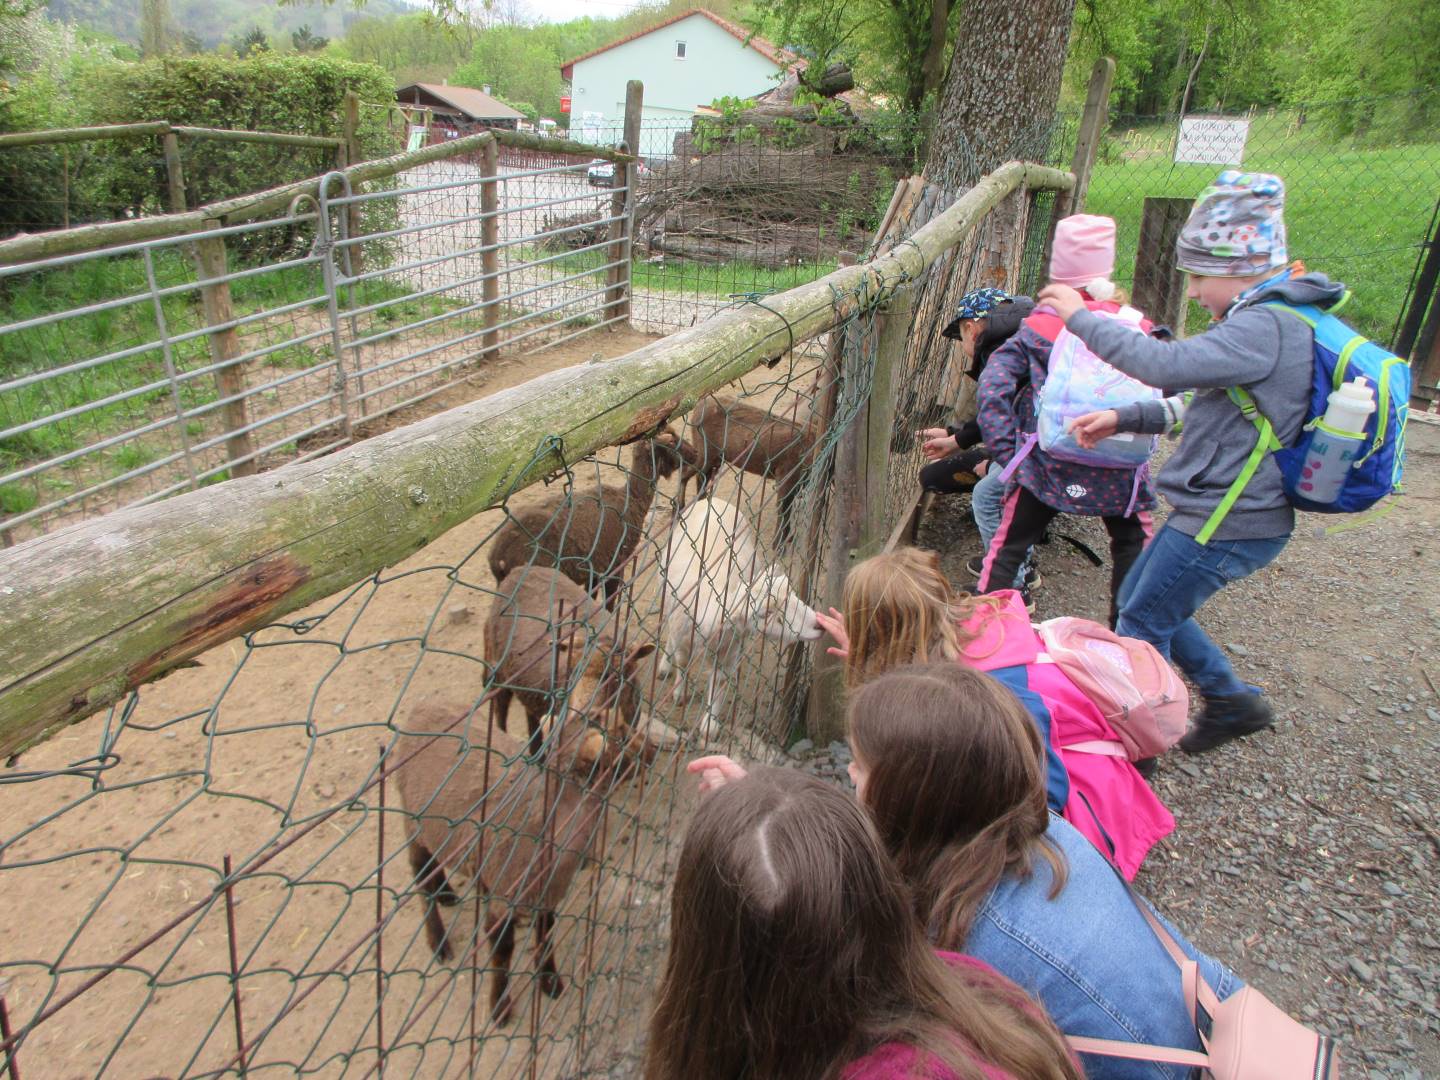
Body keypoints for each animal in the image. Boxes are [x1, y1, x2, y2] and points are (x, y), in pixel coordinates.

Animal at [395, 695, 658, 1026]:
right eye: (621, 734)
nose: (654, 749)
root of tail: (420, 709)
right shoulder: (504, 898)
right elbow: (502, 951)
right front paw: (500, 1006)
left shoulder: (546, 895)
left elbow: (546, 935)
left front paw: (550, 981)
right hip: (413, 823)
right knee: (421, 875)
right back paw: (438, 939)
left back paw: (447, 895)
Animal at [484, 565, 655, 757]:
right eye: (572, 672)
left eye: (618, 677)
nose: (579, 718)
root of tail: (520, 569)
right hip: (499, 670)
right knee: (500, 705)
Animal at [487, 431, 682, 607]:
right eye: (672, 442)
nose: (689, 457)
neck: (632, 499)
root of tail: (497, 559)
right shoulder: (615, 563)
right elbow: (609, 604)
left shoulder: (595, 568)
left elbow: (592, 596)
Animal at [657, 497, 821, 737]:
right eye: (765, 613)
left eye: (791, 592)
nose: (819, 624)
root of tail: (713, 500)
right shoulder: (683, 635)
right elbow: (682, 663)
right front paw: (679, 692)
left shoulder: (729, 651)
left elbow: (719, 684)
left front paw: (710, 725)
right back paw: (664, 666)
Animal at [677, 394, 821, 544]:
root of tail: (698, 407)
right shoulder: (786, 474)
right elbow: (783, 509)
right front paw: (778, 544)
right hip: (705, 454)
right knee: (685, 473)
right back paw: (680, 509)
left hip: (715, 460)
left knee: (701, 479)